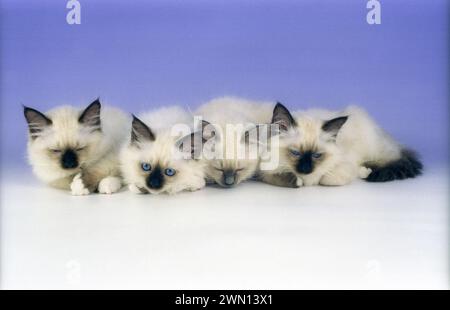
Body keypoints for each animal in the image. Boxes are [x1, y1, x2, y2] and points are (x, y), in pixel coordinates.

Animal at [262, 103, 424, 188]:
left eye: (317, 155)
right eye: (295, 153)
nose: (306, 169)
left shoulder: (342, 167)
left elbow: (326, 179)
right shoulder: (267, 171)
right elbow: (280, 177)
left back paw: (366, 171)